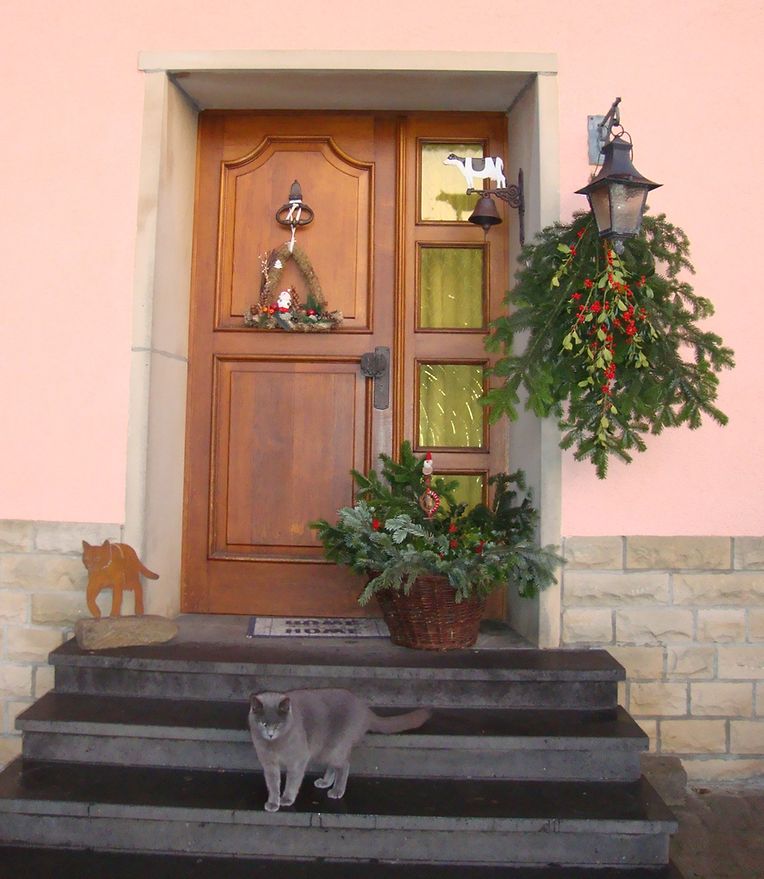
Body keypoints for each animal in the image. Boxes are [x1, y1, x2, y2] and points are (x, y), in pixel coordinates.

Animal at [248, 688, 431, 812]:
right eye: (263, 723)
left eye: (278, 724)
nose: (270, 734)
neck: (275, 745)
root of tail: (366, 710)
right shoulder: (269, 764)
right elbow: (272, 784)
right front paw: (273, 802)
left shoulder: (298, 760)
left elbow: (293, 781)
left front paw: (286, 799)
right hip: (326, 749)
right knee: (334, 766)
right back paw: (325, 782)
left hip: (333, 747)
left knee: (344, 765)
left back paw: (337, 790)